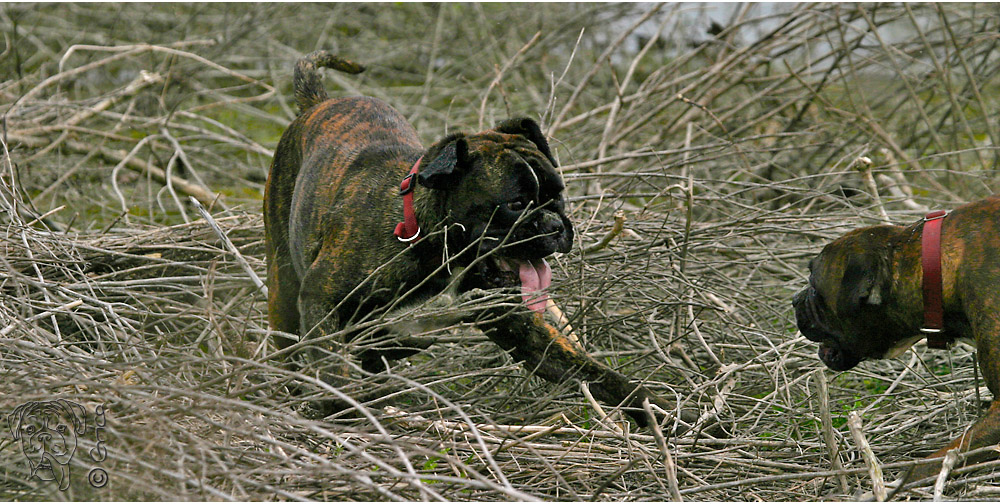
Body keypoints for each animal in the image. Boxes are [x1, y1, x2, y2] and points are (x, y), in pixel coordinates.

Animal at [262, 51, 692, 428]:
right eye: (515, 204)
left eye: (558, 196)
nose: (555, 225)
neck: (435, 248)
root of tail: (321, 103)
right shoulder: (321, 299)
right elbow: (331, 367)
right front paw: (343, 407)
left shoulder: (521, 326)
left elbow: (598, 374)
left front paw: (662, 412)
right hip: (285, 291)